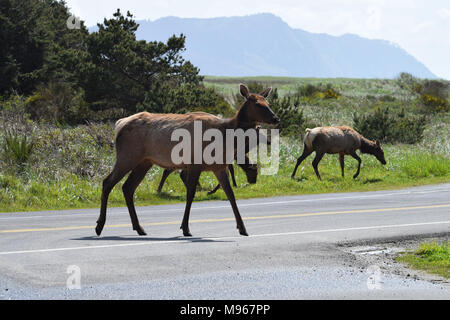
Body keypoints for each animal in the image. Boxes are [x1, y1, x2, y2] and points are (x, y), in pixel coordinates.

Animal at [95, 85, 280, 238]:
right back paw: (99, 226)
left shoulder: (219, 167)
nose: (276, 119)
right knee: (107, 182)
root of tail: (119, 124)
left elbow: (231, 195)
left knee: (127, 187)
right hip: (127, 155)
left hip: (145, 161)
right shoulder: (195, 163)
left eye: (268, 102)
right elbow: (190, 194)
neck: (225, 138)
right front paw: (185, 228)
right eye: (258, 104)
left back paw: (139, 228)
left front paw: (243, 228)